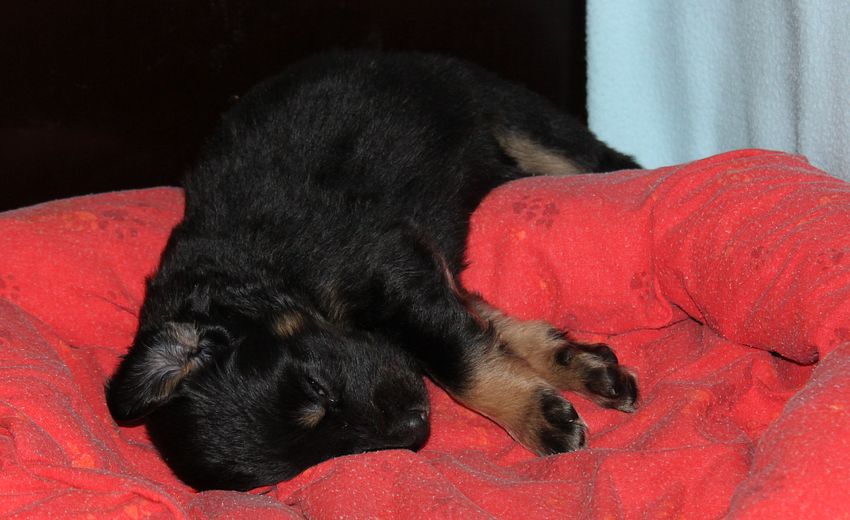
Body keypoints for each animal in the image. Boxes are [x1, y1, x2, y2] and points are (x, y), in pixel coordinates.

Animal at [105, 51, 639, 491]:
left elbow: (459, 360)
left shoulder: (390, 267)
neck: (260, 271)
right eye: (323, 456)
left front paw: (536, 417)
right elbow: (488, 328)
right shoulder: (422, 273)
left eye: (316, 388)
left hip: (527, 127)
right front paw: (576, 364)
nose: (418, 427)